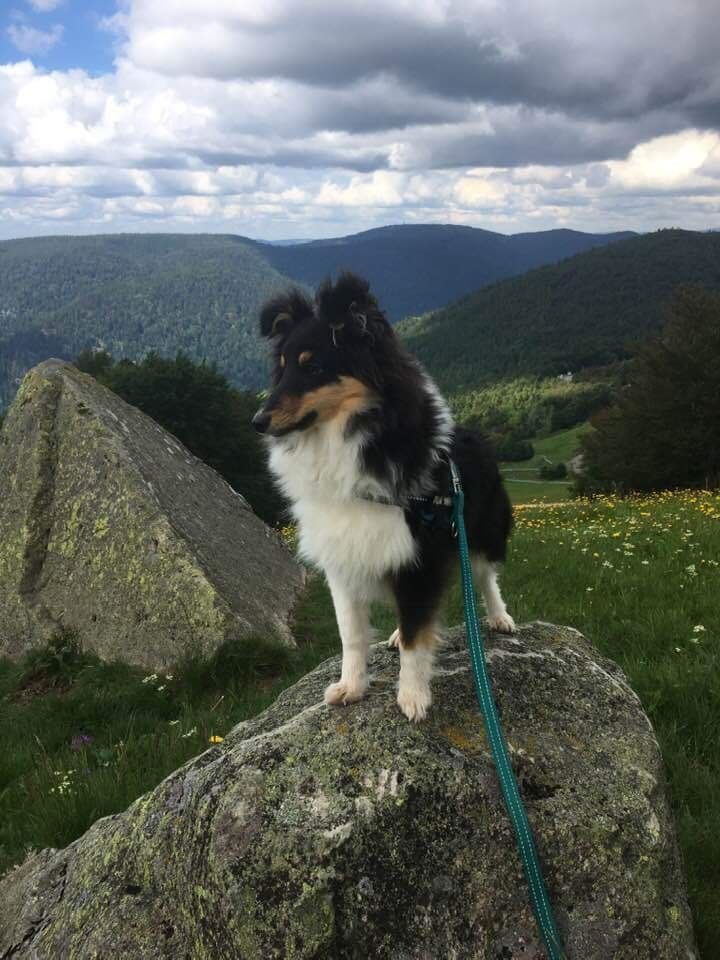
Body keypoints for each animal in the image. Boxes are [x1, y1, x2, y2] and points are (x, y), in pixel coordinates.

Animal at [253, 270, 512, 720]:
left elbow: (417, 634)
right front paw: (351, 686)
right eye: (281, 368)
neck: (348, 437)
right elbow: (352, 634)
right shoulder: (344, 557)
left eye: (313, 366)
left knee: (485, 577)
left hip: (480, 533)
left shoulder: (420, 558)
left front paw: (412, 696)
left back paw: (499, 618)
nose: (257, 421)